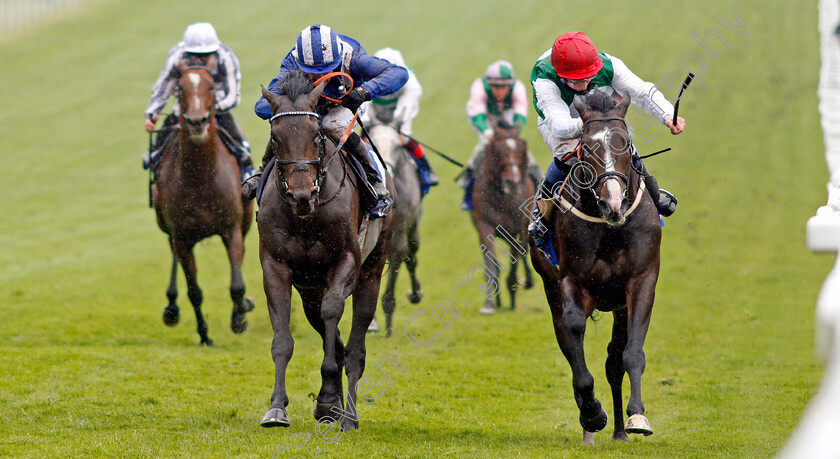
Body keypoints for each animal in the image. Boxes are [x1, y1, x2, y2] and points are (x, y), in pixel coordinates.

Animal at [153, 57, 253, 344]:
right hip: (167, 229)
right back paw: (171, 307)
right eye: (179, 89)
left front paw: (239, 318)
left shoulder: (231, 228)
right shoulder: (181, 236)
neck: (199, 178)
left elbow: (236, 284)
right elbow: (194, 290)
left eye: (211, 86)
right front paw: (204, 334)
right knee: (174, 258)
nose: (197, 121)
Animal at [256, 71, 394, 432]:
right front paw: (277, 408)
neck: (307, 216)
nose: (301, 194)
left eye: (317, 135)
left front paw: (333, 399)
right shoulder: (276, 267)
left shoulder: (346, 261)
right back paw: (328, 406)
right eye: (275, 137)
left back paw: (349, 415)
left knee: (356, 348)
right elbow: (283, 340)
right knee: (330, 332)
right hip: (309, 289)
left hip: (372, 272)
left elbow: (334, 312)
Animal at [368, 124, 424, 340]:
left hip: (413, 228)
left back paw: (416, 294)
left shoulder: (398, 237)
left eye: (397, 147)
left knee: (412, 255)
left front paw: (389, 330)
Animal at [470, 122, 536, 314]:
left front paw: (513, 289)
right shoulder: (485, 225)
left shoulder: (517, 227)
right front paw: (489, 303)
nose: (512, 182)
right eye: (499, 152)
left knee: (523, 251)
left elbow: (517, 257)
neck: (502, 198)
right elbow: (490, 263)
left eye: (521, 150)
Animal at [532, 91, 664, 448]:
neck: (609, 228)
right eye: (587, 147)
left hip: (618, 305)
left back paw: (619, 431)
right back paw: (589, 426)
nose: (612, 203)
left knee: (614, 360)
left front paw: (637, 417)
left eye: (625, 142)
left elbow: (630, 354)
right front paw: (592, 412)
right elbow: (574, 335)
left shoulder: (641, 282)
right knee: (568, 342)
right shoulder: (572, 281)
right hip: (551, 287)